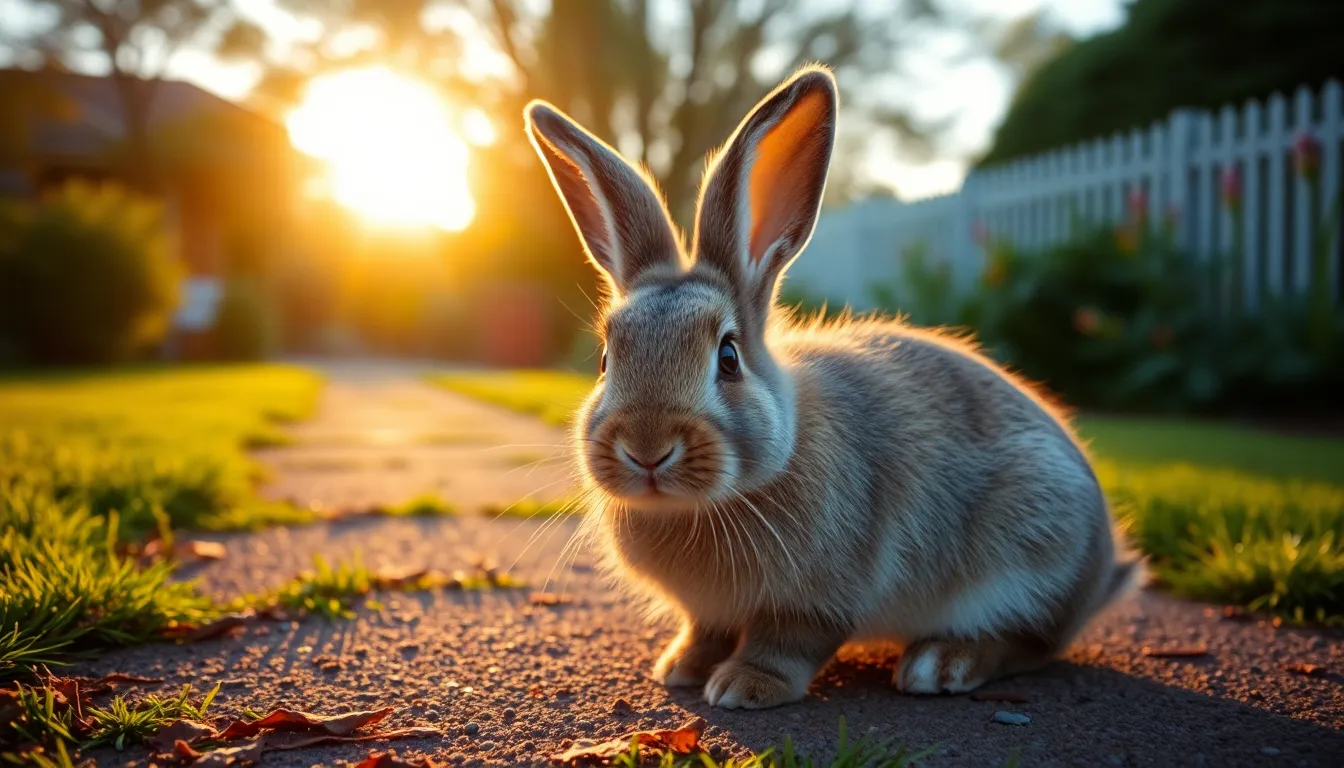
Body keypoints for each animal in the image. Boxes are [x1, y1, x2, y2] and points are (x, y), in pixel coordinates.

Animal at [523, 64, 1140, 710]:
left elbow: (788, 644)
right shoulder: (708, 613)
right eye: (605, 359)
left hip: (1029, 551)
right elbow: (704, 630)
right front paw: (680, 668)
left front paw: (742, 687)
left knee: (1031, 642)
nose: (646, 449)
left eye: (728, 357)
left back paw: (941, 664)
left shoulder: (817, 599)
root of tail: (1100, 573)